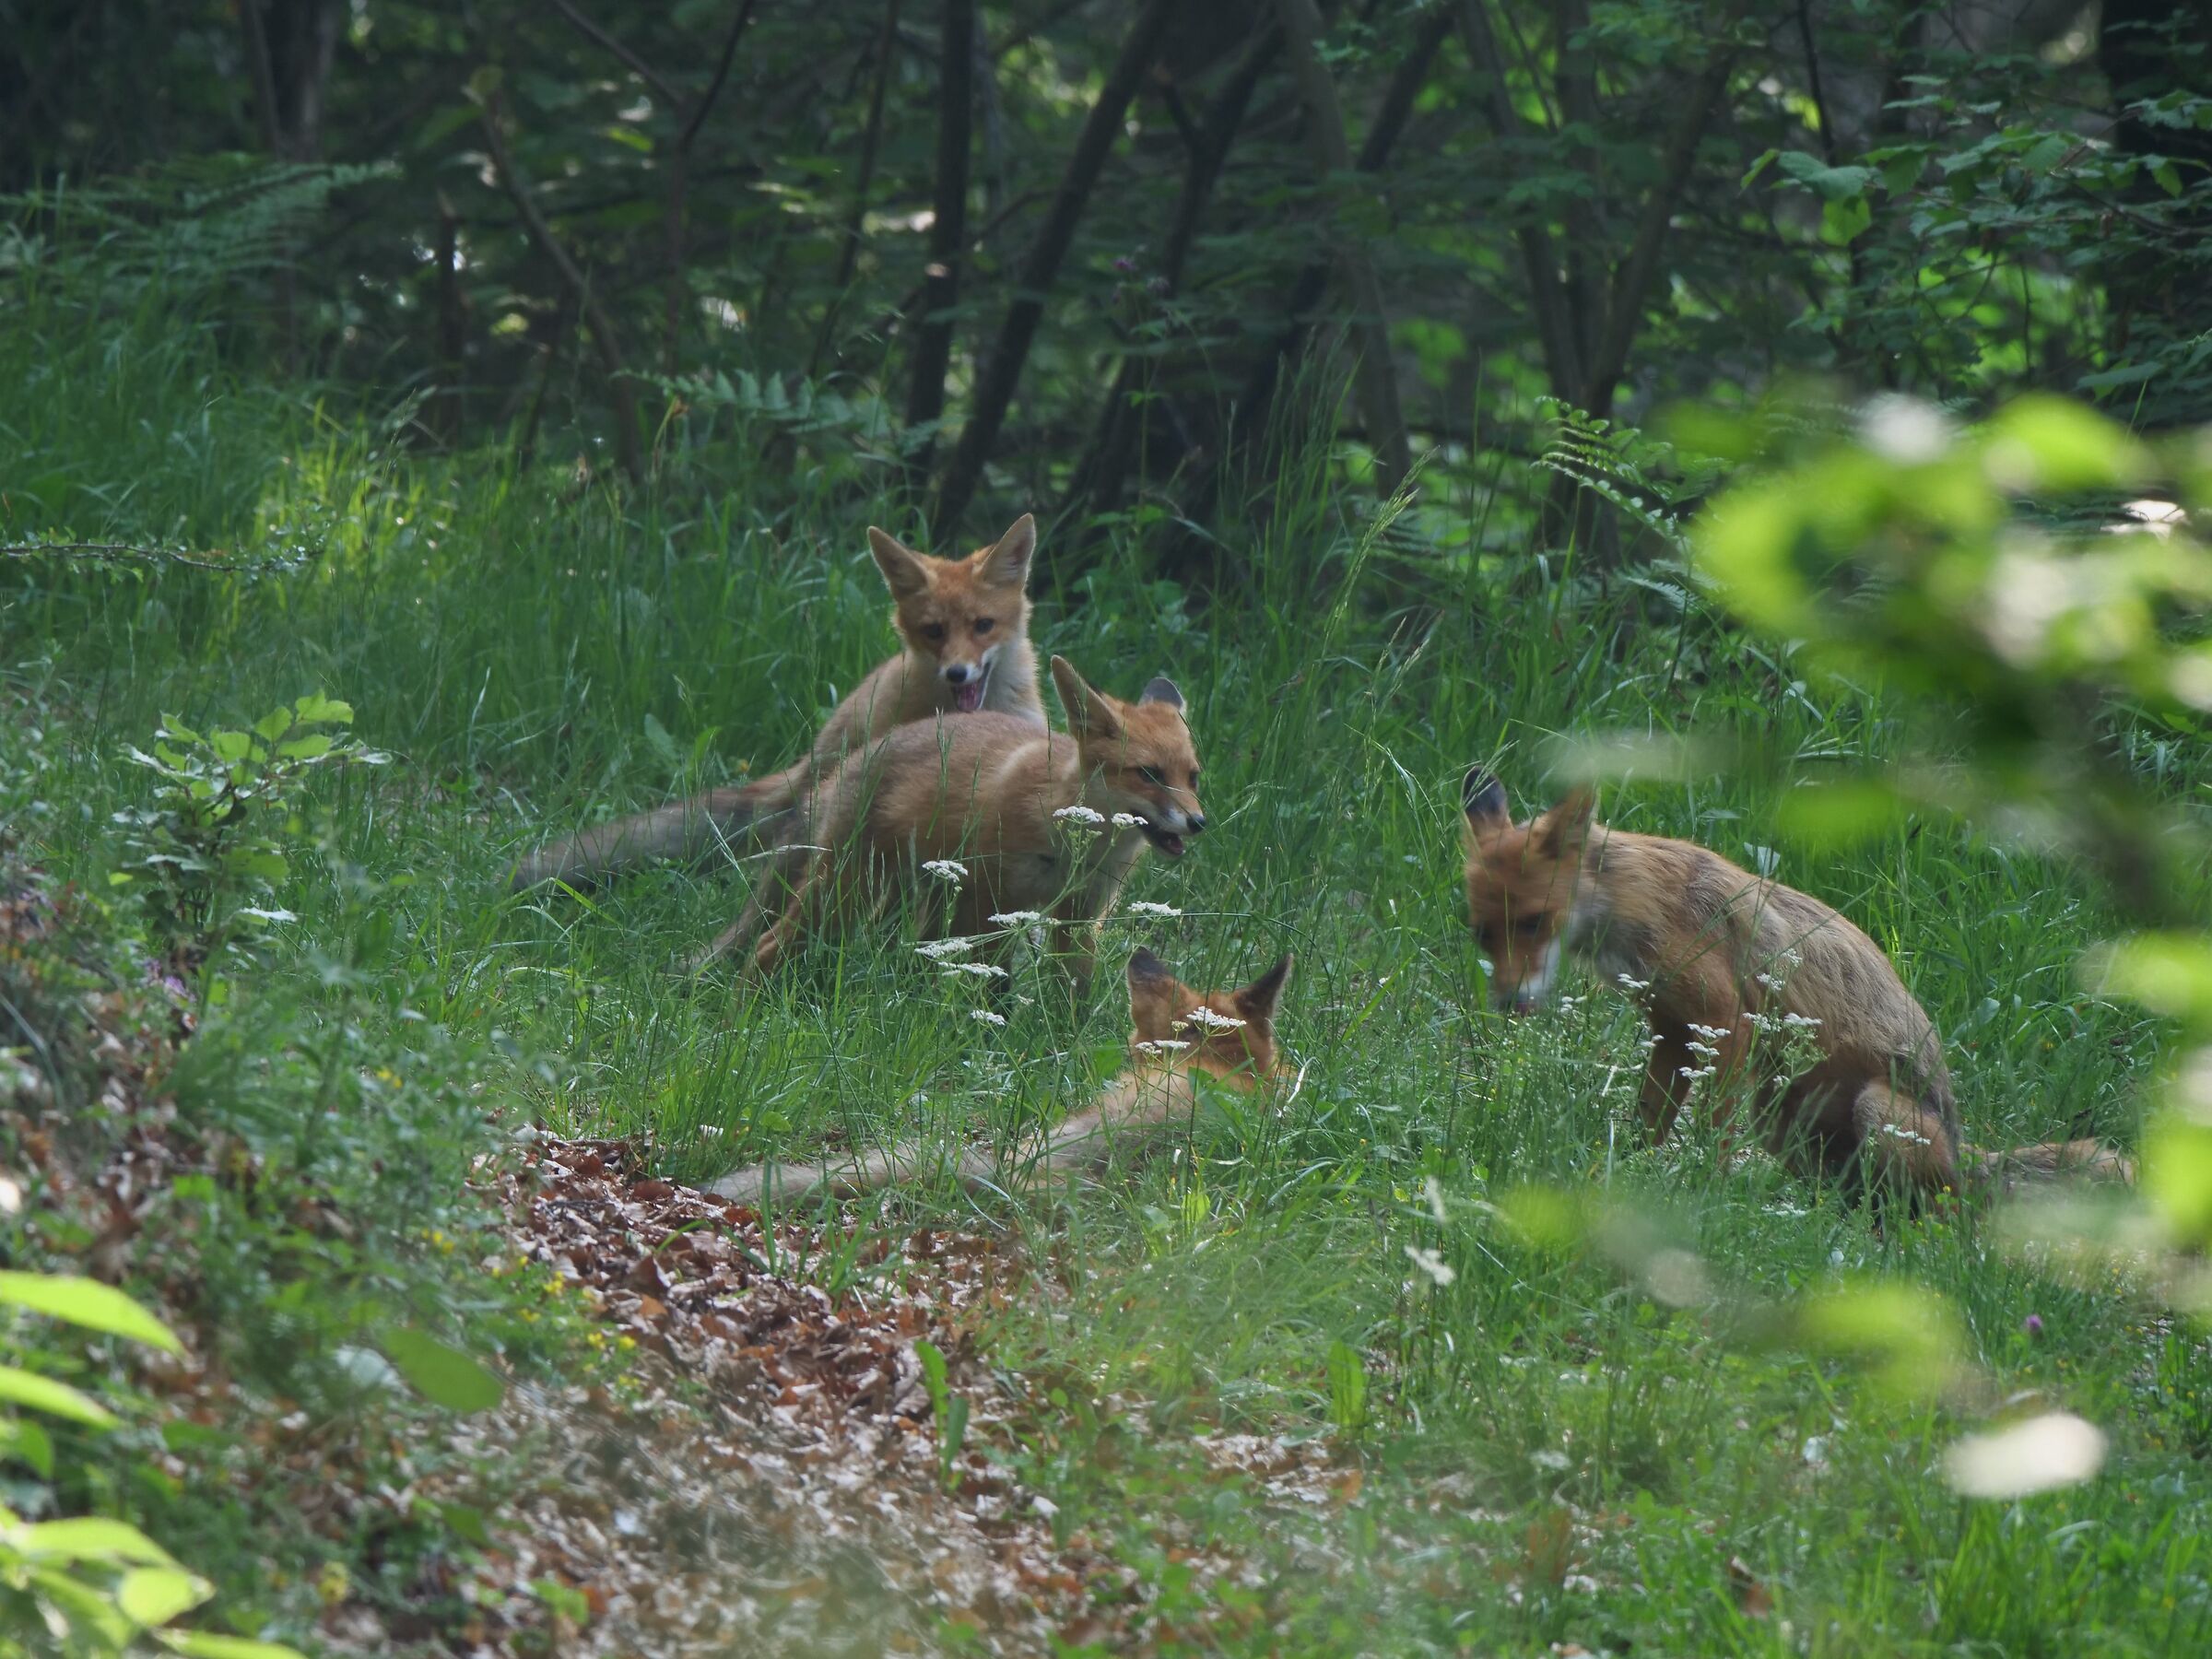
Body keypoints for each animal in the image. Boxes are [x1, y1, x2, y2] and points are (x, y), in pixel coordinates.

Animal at [704, 656, 1207, 994]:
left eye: (1192, 776)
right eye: (1149, 774)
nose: (1198, 822)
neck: (1067, 832)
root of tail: (853, 759)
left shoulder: (1081, 916)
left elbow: (1073, 998)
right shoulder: (989, 903)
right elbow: (994, 988)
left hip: (916, 897)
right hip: (845, 894)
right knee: (765, 945)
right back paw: (740, 1020)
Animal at [1459, 770, 2134, 1205]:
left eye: (1533, 922)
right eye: (1483, 933)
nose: (1508, 1004)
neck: (1635, 901)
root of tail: (1965, 1146)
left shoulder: (1725, 1022)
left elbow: (1711, 1132)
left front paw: (1700, 1189)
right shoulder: (1673, 1032)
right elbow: (1647, 1122)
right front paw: (1630, 1172)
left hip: (1875, 1113)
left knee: (1938, 1215)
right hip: (1780, 1121)